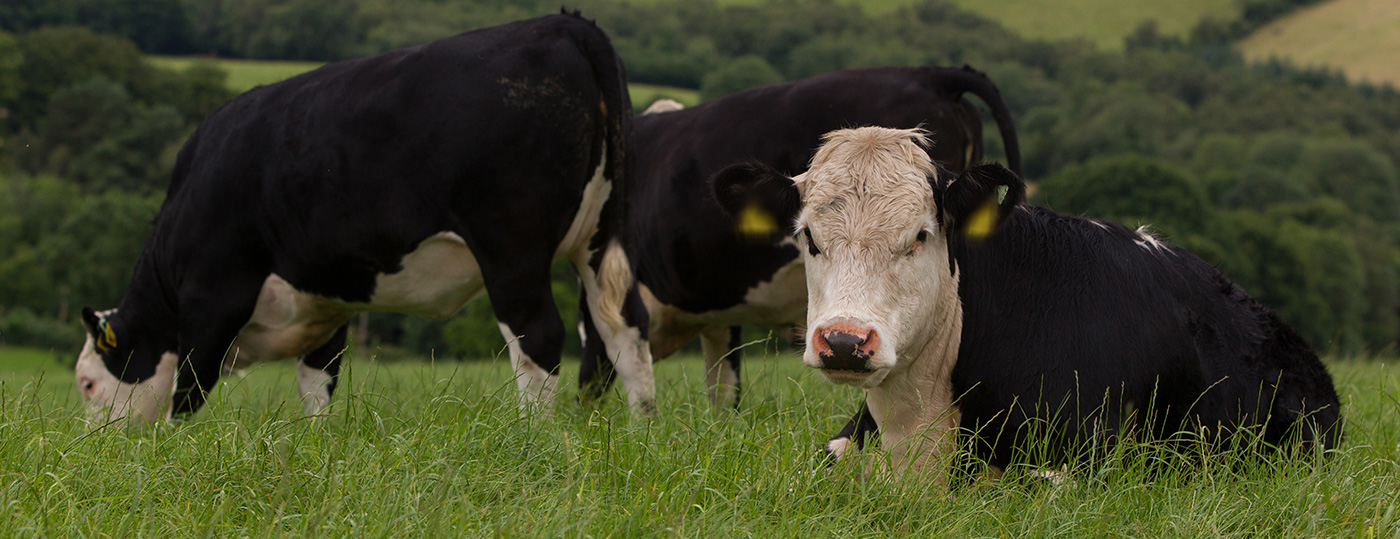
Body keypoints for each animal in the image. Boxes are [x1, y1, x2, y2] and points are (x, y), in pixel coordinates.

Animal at [79, 11, 658, 425]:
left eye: (87, 383)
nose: (96, 445)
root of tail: (566, 23)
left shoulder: (212, 295)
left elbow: (188, 389)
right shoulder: (326, 307)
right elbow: (317, 385)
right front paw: (315, 444)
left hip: (511, 249)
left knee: (538, 336)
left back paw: (534, 437)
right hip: (602, 241)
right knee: (624, 328)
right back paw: (641, 433)